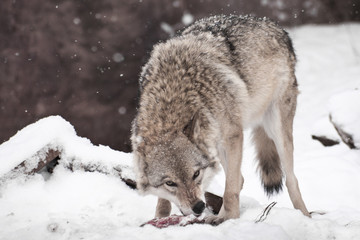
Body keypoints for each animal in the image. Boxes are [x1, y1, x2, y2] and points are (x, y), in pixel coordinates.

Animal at [131, 15, 310, 225]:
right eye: (170, 183)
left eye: (196, 174)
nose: (198, 207)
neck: (171, 98)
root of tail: (275, 26)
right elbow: (163, 199)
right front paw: (160, 216)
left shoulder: (234, 136)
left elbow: (231, 188)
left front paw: (229, 218)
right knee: (241, 178)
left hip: (275, 130)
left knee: (289, 179)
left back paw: (305, 216)